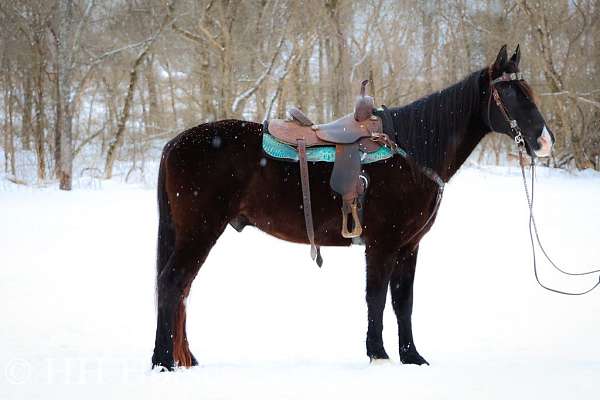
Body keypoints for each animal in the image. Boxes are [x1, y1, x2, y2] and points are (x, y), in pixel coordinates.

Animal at [154, 46, 552, 368]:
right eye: (510, 93)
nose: (545, 141)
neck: (410, 155)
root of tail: (174, 143)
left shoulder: (408, 247)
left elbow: (403, 302)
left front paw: (411, 356)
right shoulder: (382, 245)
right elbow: (375, 298)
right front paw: (378, 354)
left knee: (182, 290)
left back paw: (185, 358)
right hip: (200, 231)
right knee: (173, 284)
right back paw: (163, 362)